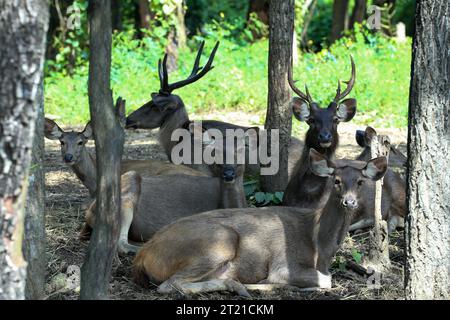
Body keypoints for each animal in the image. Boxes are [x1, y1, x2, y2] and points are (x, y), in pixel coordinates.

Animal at [82, 131, 248, 254]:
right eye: (215, 152)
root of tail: (89, 211)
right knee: (119, 243)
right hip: (129, 183)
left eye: (240, 150)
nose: (228, 173)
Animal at [132, 150, 388, 298]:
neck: (320, 246)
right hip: (218, 242)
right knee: (169, 285)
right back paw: (239, 286)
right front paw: (273, 284)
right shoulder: (284, 264)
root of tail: (142, 255)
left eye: (360, 181)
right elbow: (325, 279)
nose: (349, 201)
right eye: (336, 181)